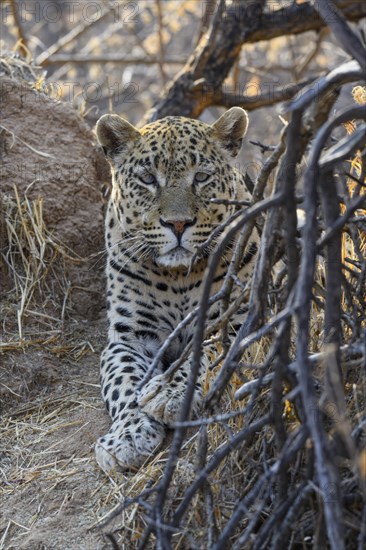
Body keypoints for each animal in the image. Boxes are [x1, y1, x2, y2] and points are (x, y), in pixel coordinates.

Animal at [93, 108, 258, 474]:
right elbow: (123, 380)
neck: (178, 277)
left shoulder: (237, 319)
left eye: (201, 177)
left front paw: (168, 393)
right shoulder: (130, 336)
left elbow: (206, 352)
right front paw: (127, 437)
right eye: (147, 179)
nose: (178, 224)